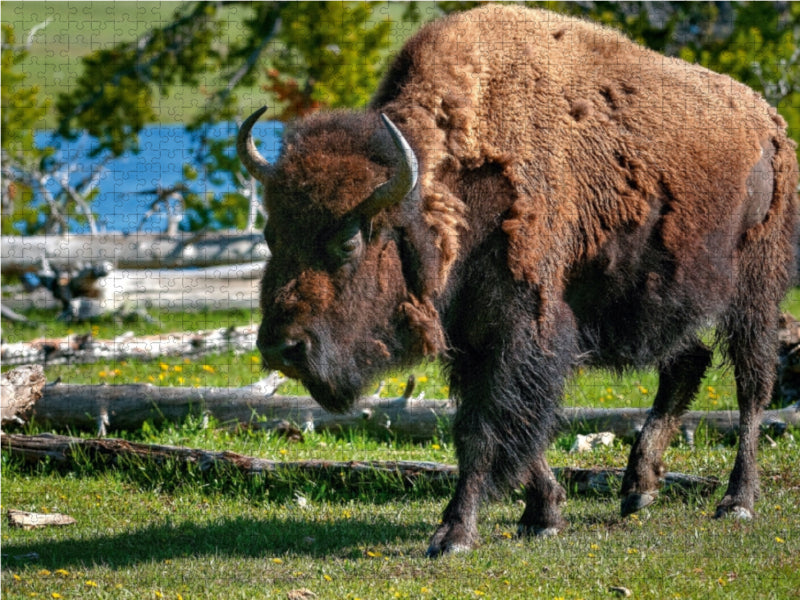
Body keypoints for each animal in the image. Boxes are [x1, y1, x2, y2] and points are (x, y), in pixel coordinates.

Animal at [238, 5, 798, 556]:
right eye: (270, 234)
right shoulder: (472, 337)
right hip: (659, 297)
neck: (443, 194)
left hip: (753, 290)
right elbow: (506, 426)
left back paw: (737, 500)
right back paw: (638, 488)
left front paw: (453, 534)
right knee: (687, 361)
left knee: (752, 385)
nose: (281, 348)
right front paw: (542, 515)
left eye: (348, 241)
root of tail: (769, 123)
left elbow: (486, 428)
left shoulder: (521, 326)